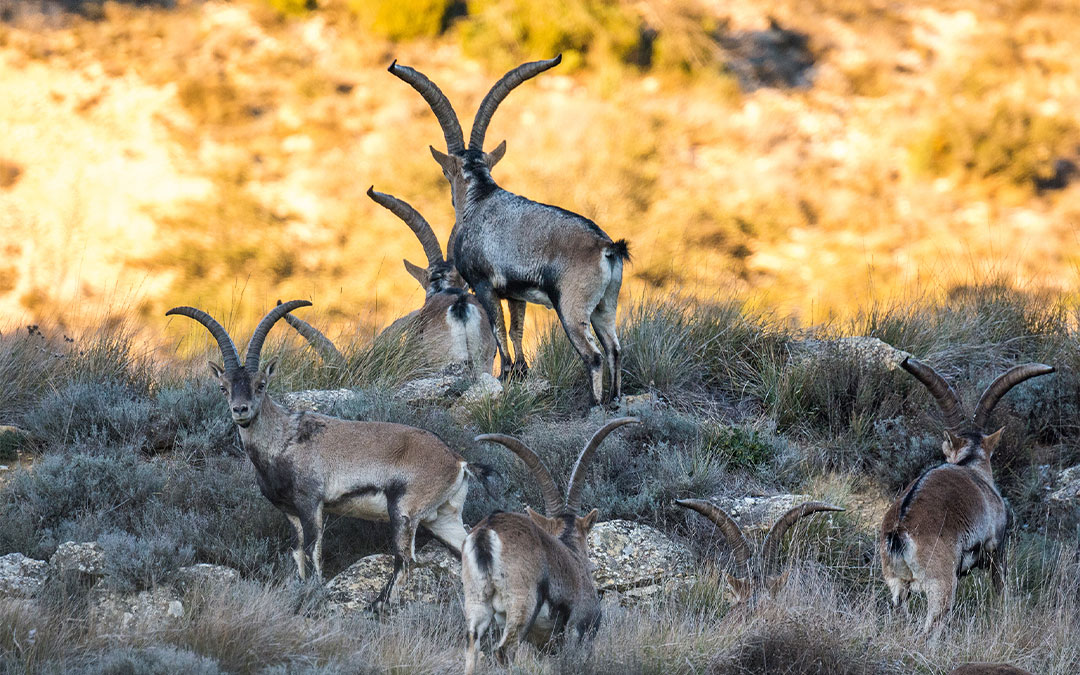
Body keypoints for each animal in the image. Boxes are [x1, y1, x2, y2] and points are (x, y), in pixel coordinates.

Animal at [166, 300, 477, 609]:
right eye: (224, 387)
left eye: (261, 384)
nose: (240, 410)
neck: (282, 439)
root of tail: (457, 462)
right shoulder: (289, 510)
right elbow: (296, 550)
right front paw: (301, 586)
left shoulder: (311, 502)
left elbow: (313, 548)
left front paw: (316, 590)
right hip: (443, 518)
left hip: (404, 510)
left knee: (405, 560)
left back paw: (376, 605)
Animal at [389, 55, 630, 405]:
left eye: (447, 173)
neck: (480, 198)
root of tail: (607, 248)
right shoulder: (517, 293)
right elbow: (516, 330)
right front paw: (521, 371)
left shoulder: (483, 284)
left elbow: (499, 330)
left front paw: (505, 373)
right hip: (605, 305)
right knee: (614, 348)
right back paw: (614, 400)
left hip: (572, 307)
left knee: (594, 355)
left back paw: (595, 403)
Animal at [462, 417, 639, 673]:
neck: (573, 555)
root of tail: (487, 532)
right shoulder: (581, 626)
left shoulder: (544, 644)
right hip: (521, 603)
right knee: (504, 651)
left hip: (476, 600)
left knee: (472, 649)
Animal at [881, 357, 1054, 635]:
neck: (970, 466)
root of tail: (899, 532)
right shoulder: (996, 548)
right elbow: (1000, 587)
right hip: (941, 585)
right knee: (931, 627)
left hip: (897, 585)